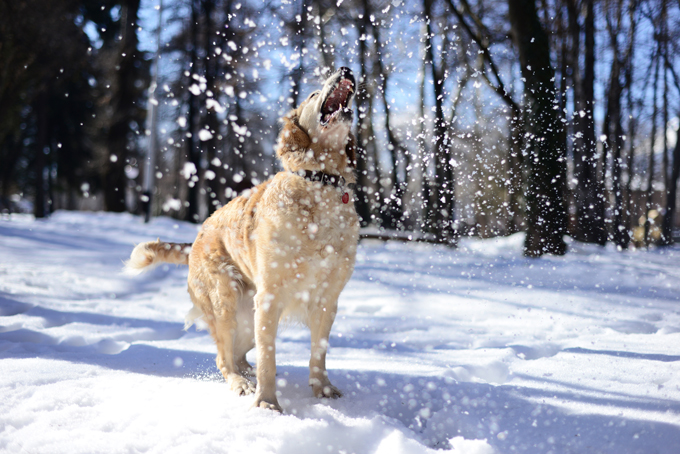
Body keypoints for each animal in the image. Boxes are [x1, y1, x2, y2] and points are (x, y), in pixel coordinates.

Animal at [127, 67, 362, 412]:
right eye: (312, 94)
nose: (345, 69)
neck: (321, 183)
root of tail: (196, 238)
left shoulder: (327, 298)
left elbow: (318, 352)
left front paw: (323, 390)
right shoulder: (270, 296)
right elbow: (269, 357)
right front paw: (267, 404)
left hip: (247, 315)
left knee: (237, 353)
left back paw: (245, 372)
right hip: (226, 298)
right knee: (223, 358)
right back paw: (241, 383)